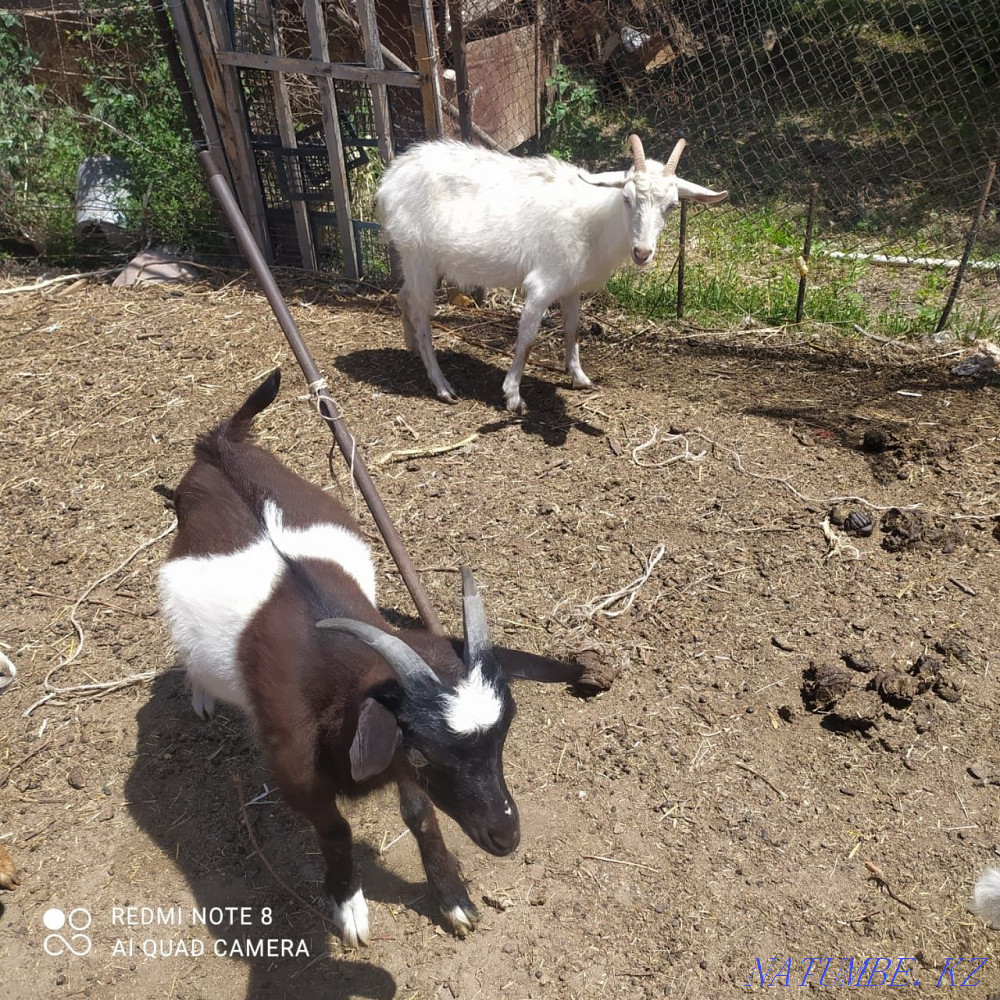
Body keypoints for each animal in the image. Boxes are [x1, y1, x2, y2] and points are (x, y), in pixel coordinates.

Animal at [157, 370, 583, 947]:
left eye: (502, 741)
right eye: (425, 754)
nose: (506, 836)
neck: (327, 670)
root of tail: (218, 449)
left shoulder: (383, 744)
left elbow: (420, 812)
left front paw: (453, 899)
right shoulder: (296, 770)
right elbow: (336, 828)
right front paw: (350, 909)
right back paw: (202, 695)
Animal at [376, 134, 728, 413]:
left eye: (672, 205)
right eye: (626, 198)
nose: (642, 252)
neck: (593, 221)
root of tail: (391, 178)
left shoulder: (572, 286)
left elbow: (573, 329)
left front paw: (580, 377)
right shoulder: (543, 284)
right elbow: (527, 339)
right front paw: (513, 396)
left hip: (418, 262)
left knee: (405, 297)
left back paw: (411, 347)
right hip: (418, 254)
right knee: (421, 313)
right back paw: (442, 385)